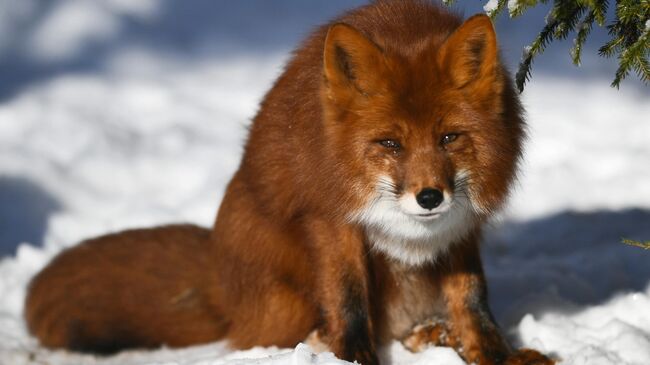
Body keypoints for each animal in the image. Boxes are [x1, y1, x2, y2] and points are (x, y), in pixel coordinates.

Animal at [25, 0, 552, 364]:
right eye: (390, 143)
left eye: (448, 137)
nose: (428, 197)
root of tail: (219, 273)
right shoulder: (329, 219)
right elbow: (348, 300)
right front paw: (351, 358)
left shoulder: (461, 228)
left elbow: (472, 300)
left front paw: (497, 355)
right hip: (286, 280)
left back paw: (433, 334)